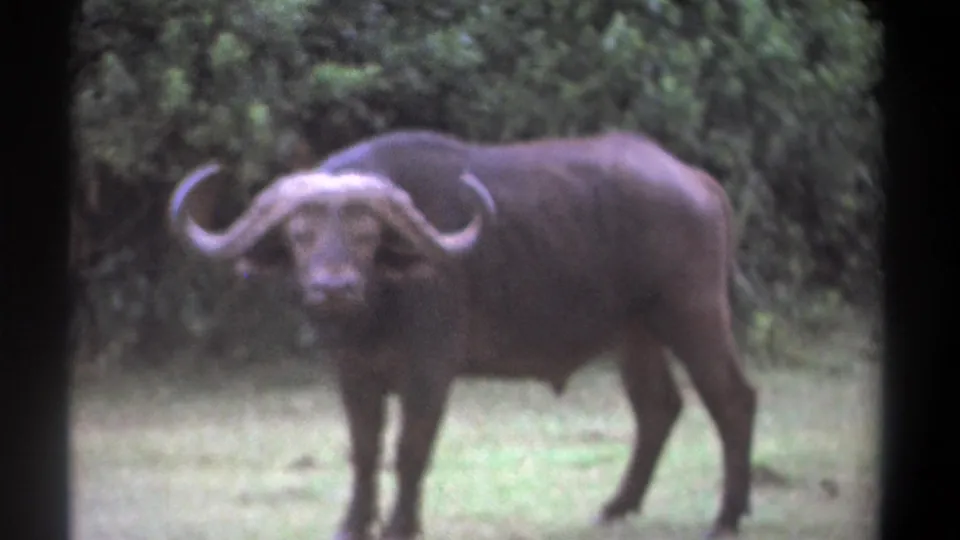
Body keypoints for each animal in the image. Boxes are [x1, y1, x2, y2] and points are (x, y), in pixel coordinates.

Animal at [168, 130, 758, 540]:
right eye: (300, 234)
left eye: (366, 233)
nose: (333, 287)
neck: (378, 307)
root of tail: (696, 180)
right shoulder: (352, 373)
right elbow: (364, 450)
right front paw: (353, 523)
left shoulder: (430, 370)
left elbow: (410, 449)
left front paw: (401, 525)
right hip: (635, 333)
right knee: (657, 406)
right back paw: (616, 507)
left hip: (694, 314)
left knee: (732, 400)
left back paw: (726, 517)